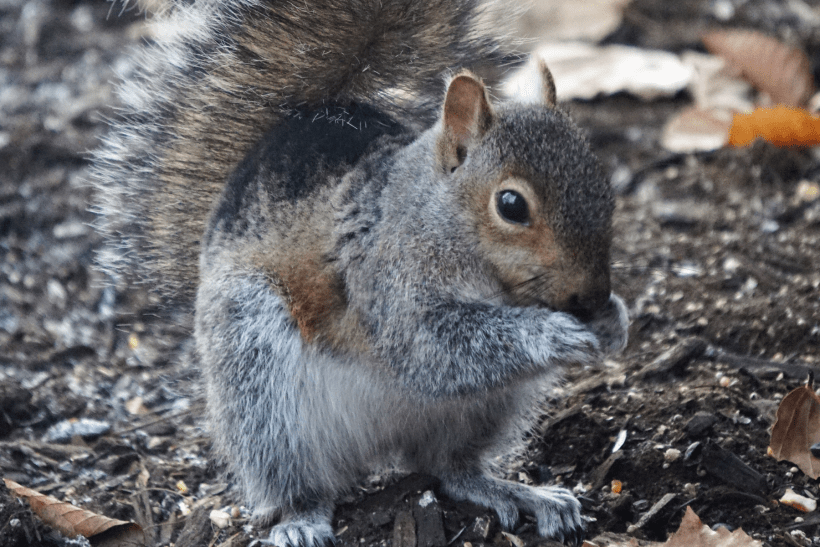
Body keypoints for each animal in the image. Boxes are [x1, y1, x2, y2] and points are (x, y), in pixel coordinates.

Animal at [91, 1, 628, 547]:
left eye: (603, 185)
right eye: (511, 205)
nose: (592, 295)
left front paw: (614, 321)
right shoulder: (383, 284)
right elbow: (431, 348)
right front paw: (553, 333)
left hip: (480, 410)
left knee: (450, 468)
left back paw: (517, 493)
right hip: (258, 374)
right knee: (295, 479)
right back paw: (301, 520)